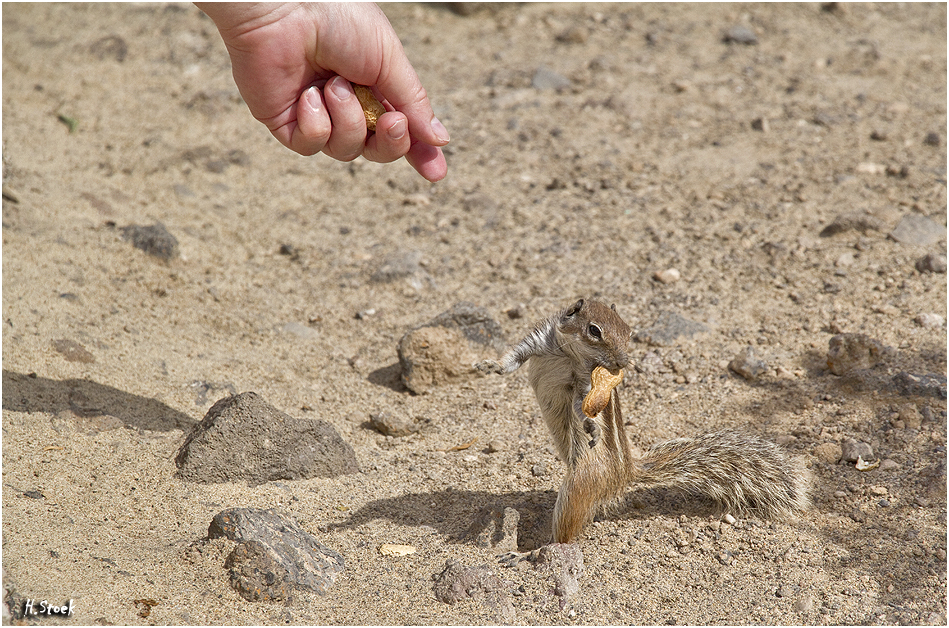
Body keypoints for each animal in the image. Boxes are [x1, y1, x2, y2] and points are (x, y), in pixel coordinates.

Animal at [474, 298, 808, 544]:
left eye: (629, 332)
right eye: (594, 330)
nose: (622, 362)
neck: (567, 353)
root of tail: (627, 473)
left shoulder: (583, 383)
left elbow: (583, 407)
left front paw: (592, 428)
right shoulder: (539, 339)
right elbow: (512, 360)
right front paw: (487, 365)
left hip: (578, 486)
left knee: (566, 535)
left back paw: (528, 553)